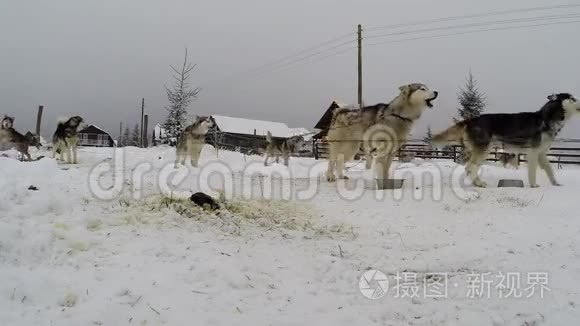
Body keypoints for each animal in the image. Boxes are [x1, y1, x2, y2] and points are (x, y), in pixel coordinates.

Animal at [432, 93, 580, 187]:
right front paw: (534, 185)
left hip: (484, 151)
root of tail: (470, 120)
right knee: (470, 167)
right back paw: (479, 183)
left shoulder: (542, 153)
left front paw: (556, 184)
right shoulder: (533, 152)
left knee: (471, 167)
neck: (546, 119)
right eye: (572, 98)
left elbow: (549, 170)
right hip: (484, 150)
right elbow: (532, 172)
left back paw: (477, 183)